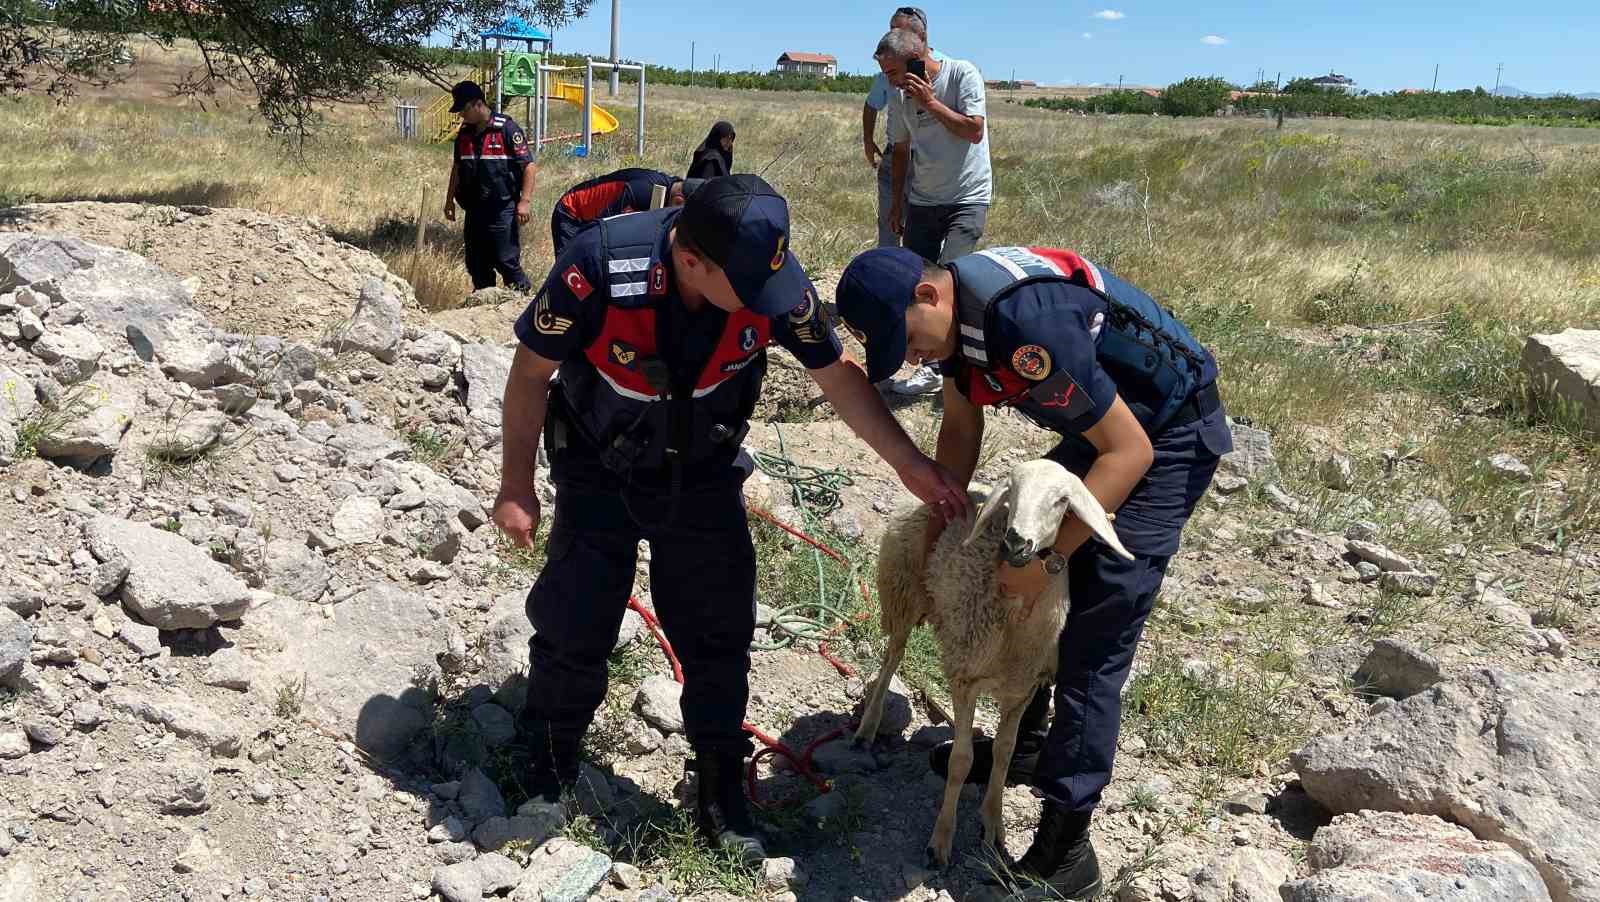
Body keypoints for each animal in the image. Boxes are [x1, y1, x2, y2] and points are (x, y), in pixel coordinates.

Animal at [857, 457, 1132, 863]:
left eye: (1062, 500)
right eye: (1012, 491)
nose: (1016, 541)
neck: (1015, 623)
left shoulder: (1022, 689)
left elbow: (1004, 753)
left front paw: (994, 825)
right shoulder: (964, 678)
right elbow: (961, 761)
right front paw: (941, 839)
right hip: (902, 593)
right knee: (893, 657)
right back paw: (868, 728)